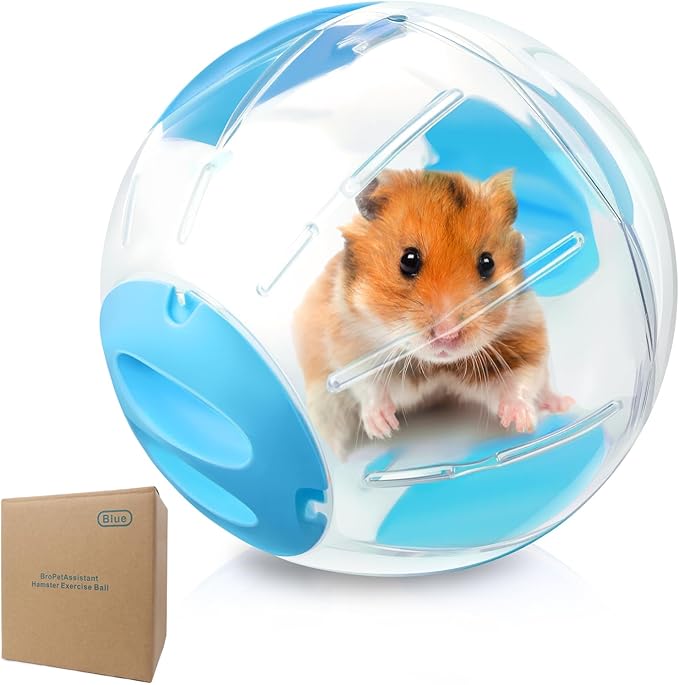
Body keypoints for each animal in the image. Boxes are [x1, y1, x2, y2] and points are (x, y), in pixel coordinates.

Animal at [293, 169, 573, 456]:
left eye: (488, 263)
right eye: (408, 260)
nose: (447, 335)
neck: (438, 365)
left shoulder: (524, 333)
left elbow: (520, 379)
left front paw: (522, 423)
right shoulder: (349, 344)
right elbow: (369, 386)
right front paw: (384, 428)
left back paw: (562, 403)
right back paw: (342, 455)